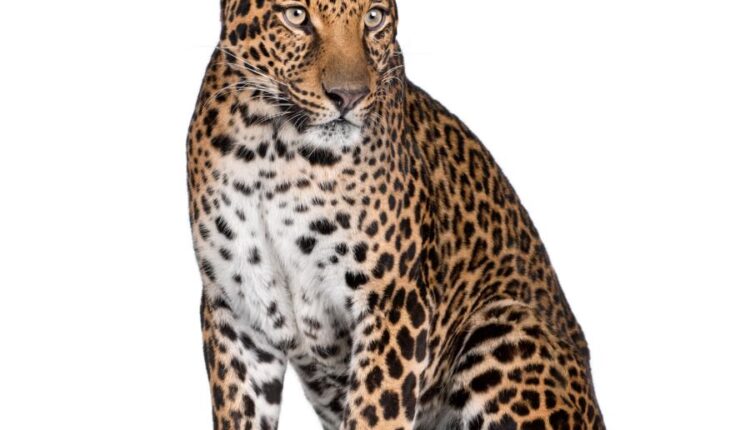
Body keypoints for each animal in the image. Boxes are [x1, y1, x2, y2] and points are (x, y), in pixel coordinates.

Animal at [186, 1, 606, 429]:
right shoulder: (237, 311)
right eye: (296, 15)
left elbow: (374, 412)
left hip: (502, 324)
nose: (348, 96)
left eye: (374, 18)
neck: (274, 152)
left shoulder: (393, 299)